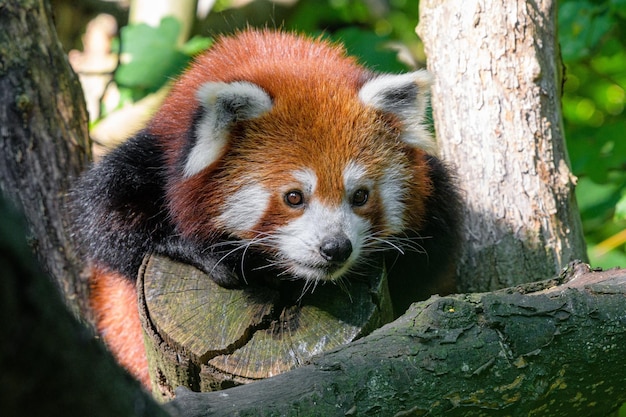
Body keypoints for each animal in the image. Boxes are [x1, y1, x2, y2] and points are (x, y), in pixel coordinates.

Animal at [72, 29, 458, 386]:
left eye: (360, 196)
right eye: (294, 197)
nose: (335, 247)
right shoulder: (151, 155)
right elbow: (104, 222)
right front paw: (206, 253)